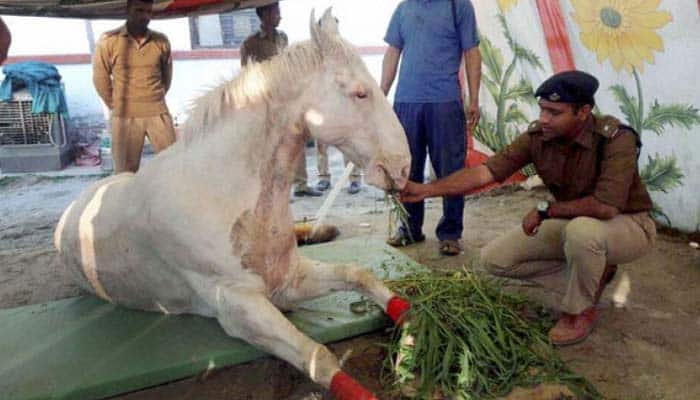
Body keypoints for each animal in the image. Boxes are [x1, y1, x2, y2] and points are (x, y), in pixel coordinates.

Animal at [57, 9, 412, 400]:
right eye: (360, 93)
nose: (403, 168)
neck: (222, 192)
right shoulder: (239, 306)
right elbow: (318, 356)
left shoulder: (288, 280)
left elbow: (360, 275)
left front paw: (413, 345)